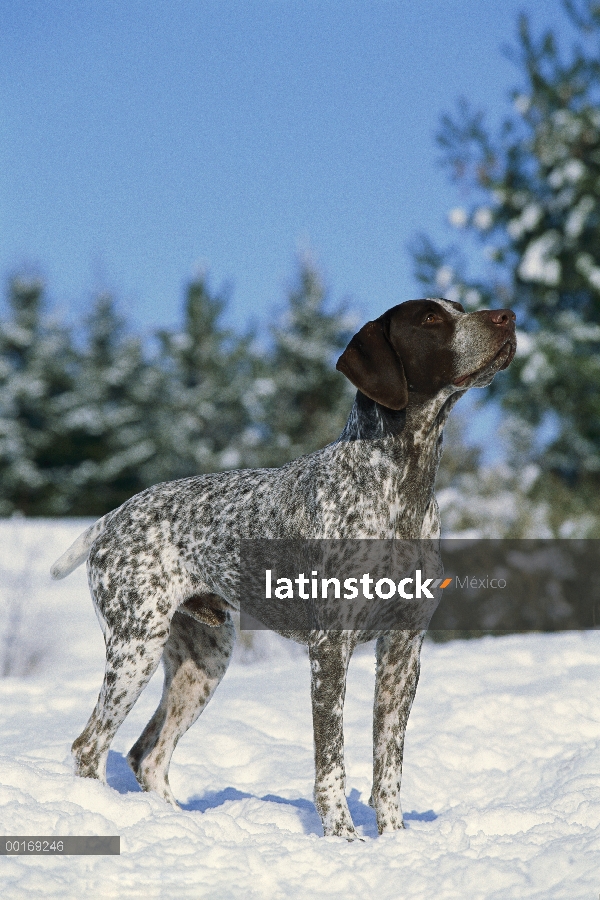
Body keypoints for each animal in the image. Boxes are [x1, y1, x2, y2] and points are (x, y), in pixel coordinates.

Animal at [51, 298, 516, 840]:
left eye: (460, 309)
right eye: (429, 319)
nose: (507, 316)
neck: (403, 486)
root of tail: (112, 516)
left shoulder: (404, 651)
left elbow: (388, 764)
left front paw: (396, 840)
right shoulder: (330, 648)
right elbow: (332, 761)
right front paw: (344, 839)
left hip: (203, 662)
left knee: (147, 755)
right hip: (136, 647)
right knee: (89, 748)